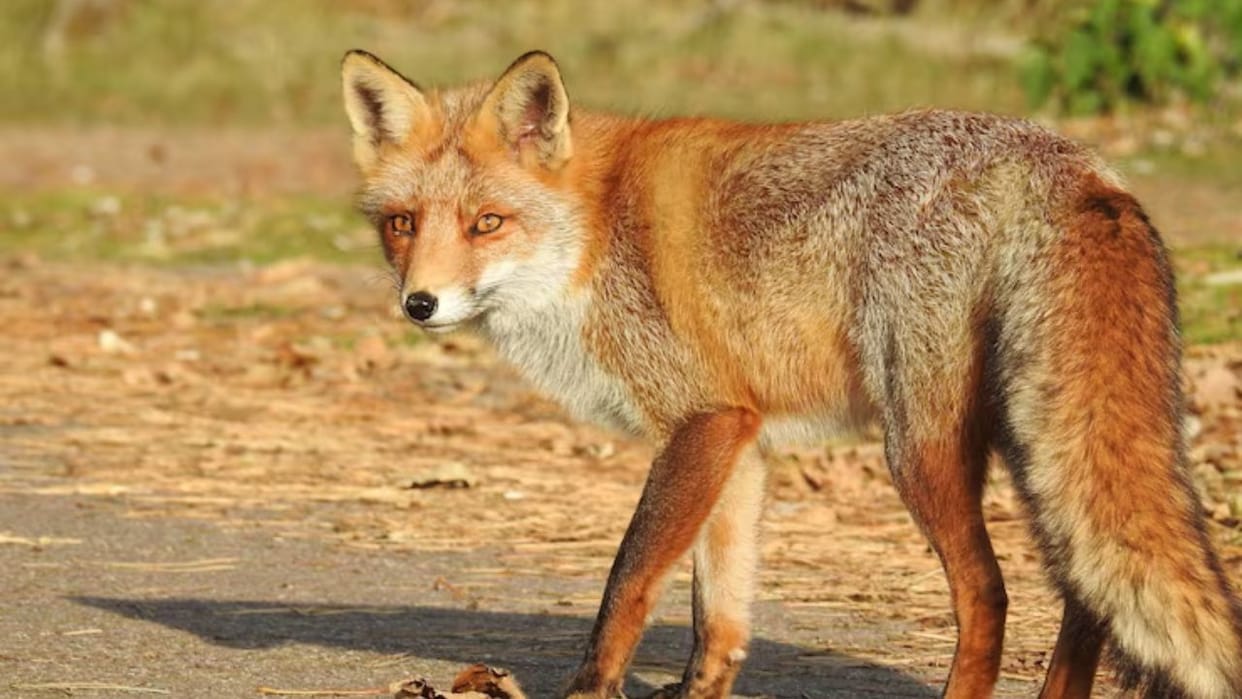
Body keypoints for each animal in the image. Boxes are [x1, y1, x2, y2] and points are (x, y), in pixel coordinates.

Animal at [339, 49, 1242, 698]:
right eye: (402, 224)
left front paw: (591, 689)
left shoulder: (701, 421)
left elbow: (628, 582)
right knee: (1088, 596)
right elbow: (718, 615)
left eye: (487, 223)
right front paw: (697, 692)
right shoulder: (740, 438)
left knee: (991, 593)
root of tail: (1067, 160)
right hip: (1036, 441)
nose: (420, 302)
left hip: (921, 447)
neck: (595, 234)